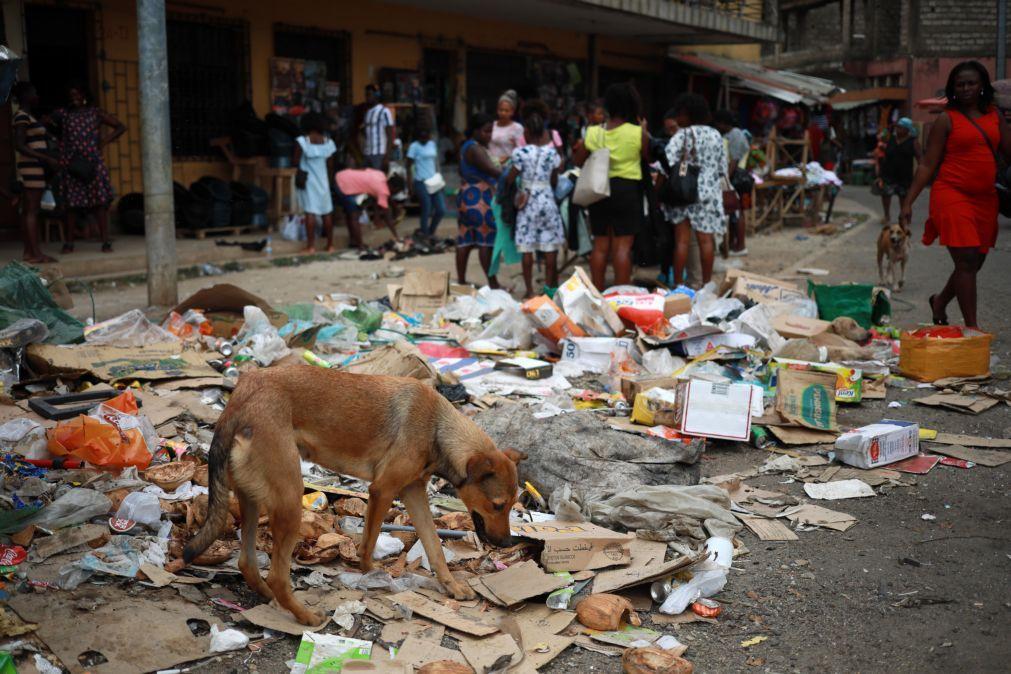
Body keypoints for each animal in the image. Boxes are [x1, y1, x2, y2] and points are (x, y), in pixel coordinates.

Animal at [182, 365, 525, 626]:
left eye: (512, 505)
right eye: (497, 505)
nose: (508, 543)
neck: (439, 428)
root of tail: (240, 398)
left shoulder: (413, 492)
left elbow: (435, 547)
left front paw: (451, 586)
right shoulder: (383, 490)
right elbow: (369, 542)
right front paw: (370, 573)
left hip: (253, 498)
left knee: (247, 562)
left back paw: (269, 596)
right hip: (290, 499)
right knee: (279, 575)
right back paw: (305, 616)